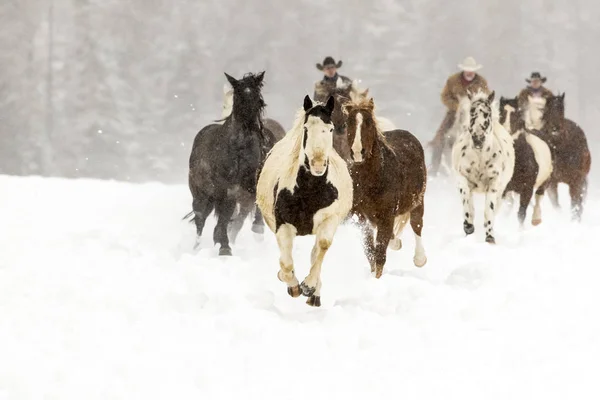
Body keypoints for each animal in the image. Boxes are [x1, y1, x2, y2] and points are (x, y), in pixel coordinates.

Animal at [186, 72, 276, 255]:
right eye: (239, 95)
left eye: (258, 97)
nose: (256, 128)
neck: (239, 149)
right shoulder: (225, 188)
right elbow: (224, 216)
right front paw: (224, 246)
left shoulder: (249, 183)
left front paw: (257, 229)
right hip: (200, 194)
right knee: (201, 219)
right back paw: (197, 247)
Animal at [254, 94, 352, 306]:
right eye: (306, 128)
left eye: (330, 128)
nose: (318, 164)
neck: (310, 191)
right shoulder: (283, 225)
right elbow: (285, 264)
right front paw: (292, 285)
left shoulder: (329, 220)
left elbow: (322, 247)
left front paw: (309, 286)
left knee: (315, 252)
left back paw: (314, 294)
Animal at [342, 97, 426, 278]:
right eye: (349, 123)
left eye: (368, 123)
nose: (358, 152)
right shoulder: (361, 217)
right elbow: (371, 252)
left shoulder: (386, 215)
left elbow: (380, 253)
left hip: (418, 201)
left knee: (416, 224)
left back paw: (420, 259)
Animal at [450, 90, 516, 244]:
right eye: (472, 112)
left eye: (487, 113)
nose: (478, 138)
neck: (480, 158)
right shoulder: (463, 179)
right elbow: (467, 205)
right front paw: (468, 227)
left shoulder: (493, 183)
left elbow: (489, 210)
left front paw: (490, 237)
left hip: (501, 189)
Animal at [496, 96, 552, 228]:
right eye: (501, 113)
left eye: (516, 114)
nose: (506, 134)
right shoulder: (503, 188)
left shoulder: (527, 190)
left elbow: (521, 214)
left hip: (544, 182)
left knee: (538, 198)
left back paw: (536, 219)